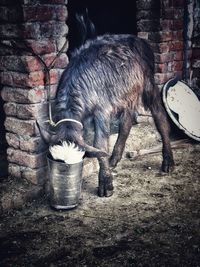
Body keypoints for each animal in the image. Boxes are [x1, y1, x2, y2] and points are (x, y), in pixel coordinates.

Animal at [39, 34, 174, 197]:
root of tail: (139, 40)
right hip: (127, 93)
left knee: (160, 116)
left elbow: (100, 144)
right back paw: (115, 158)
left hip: (148, 85)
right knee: (126, 122)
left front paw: (105, 183)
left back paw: (168, 161)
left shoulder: (102, 111)